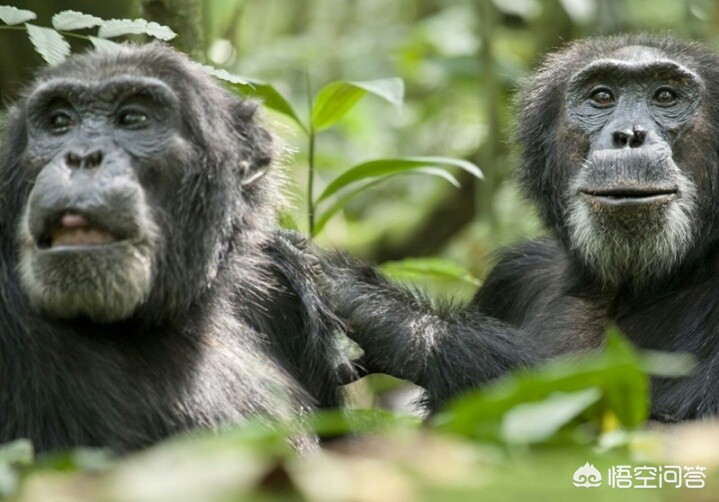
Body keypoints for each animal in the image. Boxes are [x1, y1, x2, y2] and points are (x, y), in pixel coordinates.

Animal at [320, 33, 719, 422]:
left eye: (665, 96)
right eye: (602, 97)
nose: (630, 134)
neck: (627, 285)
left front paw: (388, 315)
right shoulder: (514, 274)